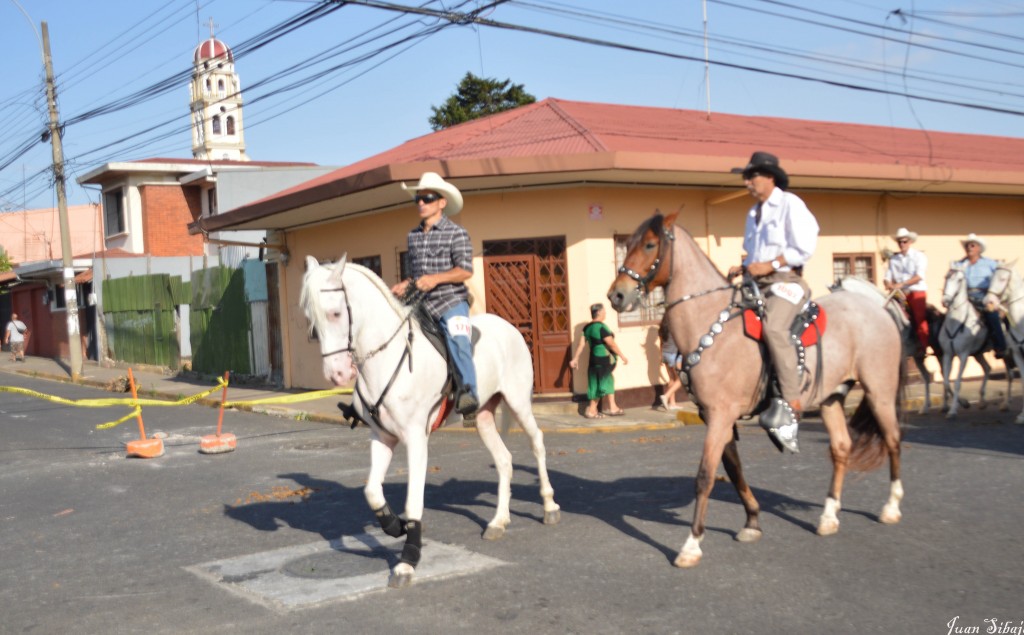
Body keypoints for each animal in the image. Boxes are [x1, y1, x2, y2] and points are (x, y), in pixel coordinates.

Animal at [299, 255, 565, 585]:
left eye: (335, 313)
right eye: (311, 321)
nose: (336, 374)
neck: (387, 359)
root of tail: (509, 327)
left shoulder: (416, 438)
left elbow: (413, 501)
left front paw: (407, 560)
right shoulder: (382, 438)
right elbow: (372, 491)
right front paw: (395, 526)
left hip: (518, 402)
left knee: (537, 443)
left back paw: (549, 506)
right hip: (483, 416)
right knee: (504, 459)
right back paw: (498, 521)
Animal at [606, 212, 905, 565]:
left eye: (650, 244)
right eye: (628, 244)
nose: (617, 295)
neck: (711, 324)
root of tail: (879, 308)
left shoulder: (721, 415)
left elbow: (705, 476)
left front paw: (691, 544)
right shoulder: (715, 416)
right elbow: (733, 469)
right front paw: (752, 521)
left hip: (879, 391)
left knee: (893, 439)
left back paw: (891, 507)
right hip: (832, 397)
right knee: (841, 448)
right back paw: (829, 517)